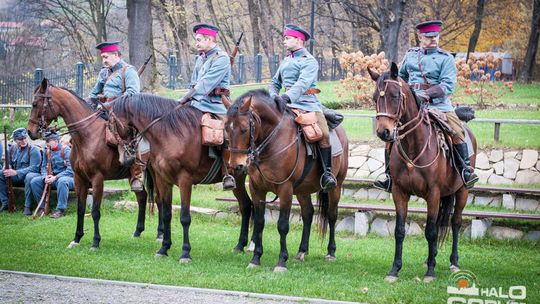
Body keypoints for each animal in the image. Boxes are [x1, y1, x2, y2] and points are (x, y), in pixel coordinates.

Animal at [27, 78, 161, 249]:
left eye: (35, 103)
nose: (30, 131)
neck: (87, 136)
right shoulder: (79, 179)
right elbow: (81, 208)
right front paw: (76, 239)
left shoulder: (97, 179)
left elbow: (96, 211)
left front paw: (95, 241)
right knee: (142, 196)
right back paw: (138, 231)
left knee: (158, 199)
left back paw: (160, 235)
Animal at [108, 93, 255, 262]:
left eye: (110, 126)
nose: (125, 159)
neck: (170, 133)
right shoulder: (163, 180)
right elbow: (166, 213)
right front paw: (163, 248)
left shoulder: (185, 180)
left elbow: (185, 217)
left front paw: (185, 252)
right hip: (239, 180)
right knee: (246, 205)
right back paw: (240, 245)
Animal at [224, 89, 350, 272]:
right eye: (226, 128)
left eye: (244, 129)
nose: (236, 165)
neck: (273, 141)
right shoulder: (257, 189)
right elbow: (260, 222)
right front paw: (255, 258)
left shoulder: (285, 190)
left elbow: (282, 225)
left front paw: (281, 261)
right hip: (303, 190)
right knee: (308, 214)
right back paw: (302, 251)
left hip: (336, 186)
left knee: (332, 215)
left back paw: (331, 252)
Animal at [368, 62, 476, 282]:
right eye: (375, 97)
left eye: (395, 95)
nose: (384, 132)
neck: (413, 145)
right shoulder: (399, 192)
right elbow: (400, 231)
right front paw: (394, 269)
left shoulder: (433, 194)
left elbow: (431, 231)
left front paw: (430, 273)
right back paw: (429, 258)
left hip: (462, 191)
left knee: (456, 222)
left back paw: (453, 262)